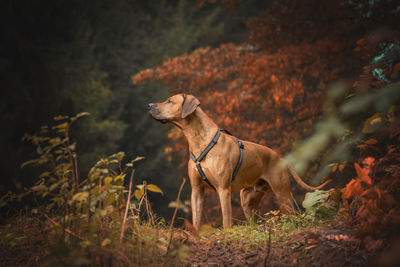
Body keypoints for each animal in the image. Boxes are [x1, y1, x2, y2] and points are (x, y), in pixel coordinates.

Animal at [148, 94, 330, 230]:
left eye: (169, 101)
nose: (149, 105)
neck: (199, 140)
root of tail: (281, 158)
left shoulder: (223, 190)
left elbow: (226, 220)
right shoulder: (196, 190)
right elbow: (196, 220)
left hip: (283, 194)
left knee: (293, 213)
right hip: (248, 199)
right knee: (254, 220)